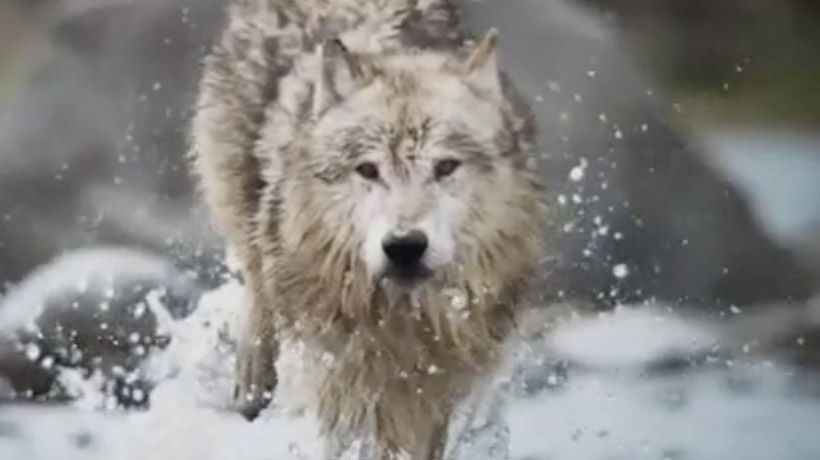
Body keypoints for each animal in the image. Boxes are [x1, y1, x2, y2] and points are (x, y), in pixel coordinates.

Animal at [190, 0, 546, 458]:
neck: (404, 318)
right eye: (368, 170)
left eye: (445, 167)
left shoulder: (438, 382)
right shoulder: (341, 371)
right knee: (257, 284)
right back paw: (251, 383)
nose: (405, 246)